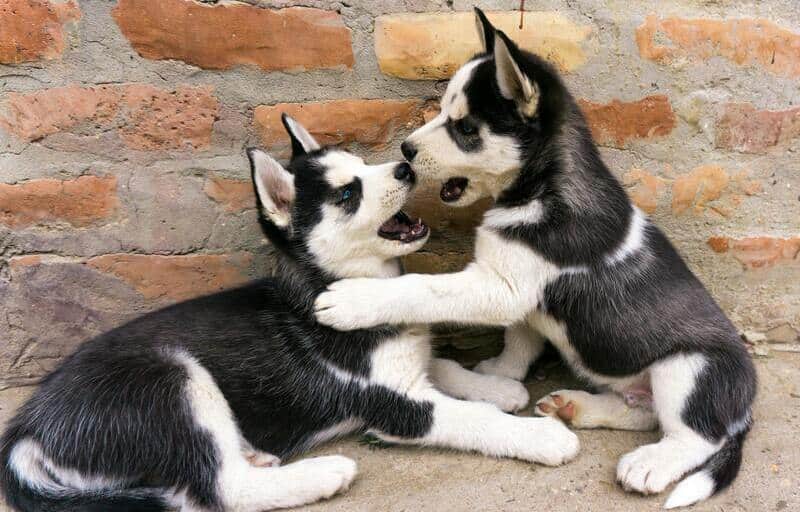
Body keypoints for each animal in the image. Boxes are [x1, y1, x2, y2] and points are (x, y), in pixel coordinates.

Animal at [0, 116, 576, 512]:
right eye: (348, 194)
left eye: (362, 165)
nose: (406, 165)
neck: (335, 285)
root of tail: (26, 429)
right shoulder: (395, 406)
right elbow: (471, 419)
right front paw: (539, 435)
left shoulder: (402, 366)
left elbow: (445, 367)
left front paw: (496, 386)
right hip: (173, 377)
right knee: (220, 490)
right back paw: (323, 473)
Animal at [314, 8, 756, 508]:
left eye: (465, 128)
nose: (406, 151)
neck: (541, 188)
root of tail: (744, 410)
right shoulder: (519, 294)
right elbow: (519, 340)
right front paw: (500, 375)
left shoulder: (503, 286)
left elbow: (422, 288)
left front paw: (353, 300)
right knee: (645, 414)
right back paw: (576, 407)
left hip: (689, 369)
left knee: (695, 436)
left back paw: (649, 464)